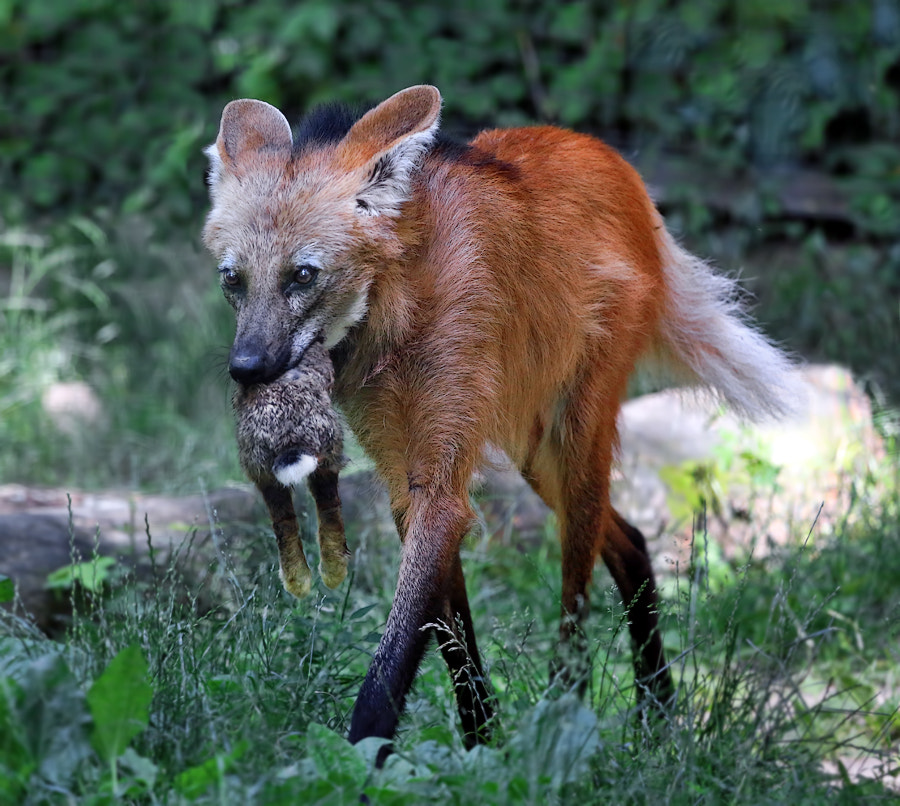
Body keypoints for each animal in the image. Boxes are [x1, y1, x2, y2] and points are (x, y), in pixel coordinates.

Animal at [232, 340, 344, 600]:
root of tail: (289, 440)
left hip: (259, 467)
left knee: (282, 519)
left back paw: (297, 581)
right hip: (329, 447)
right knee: (328, 503)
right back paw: (333, 573)